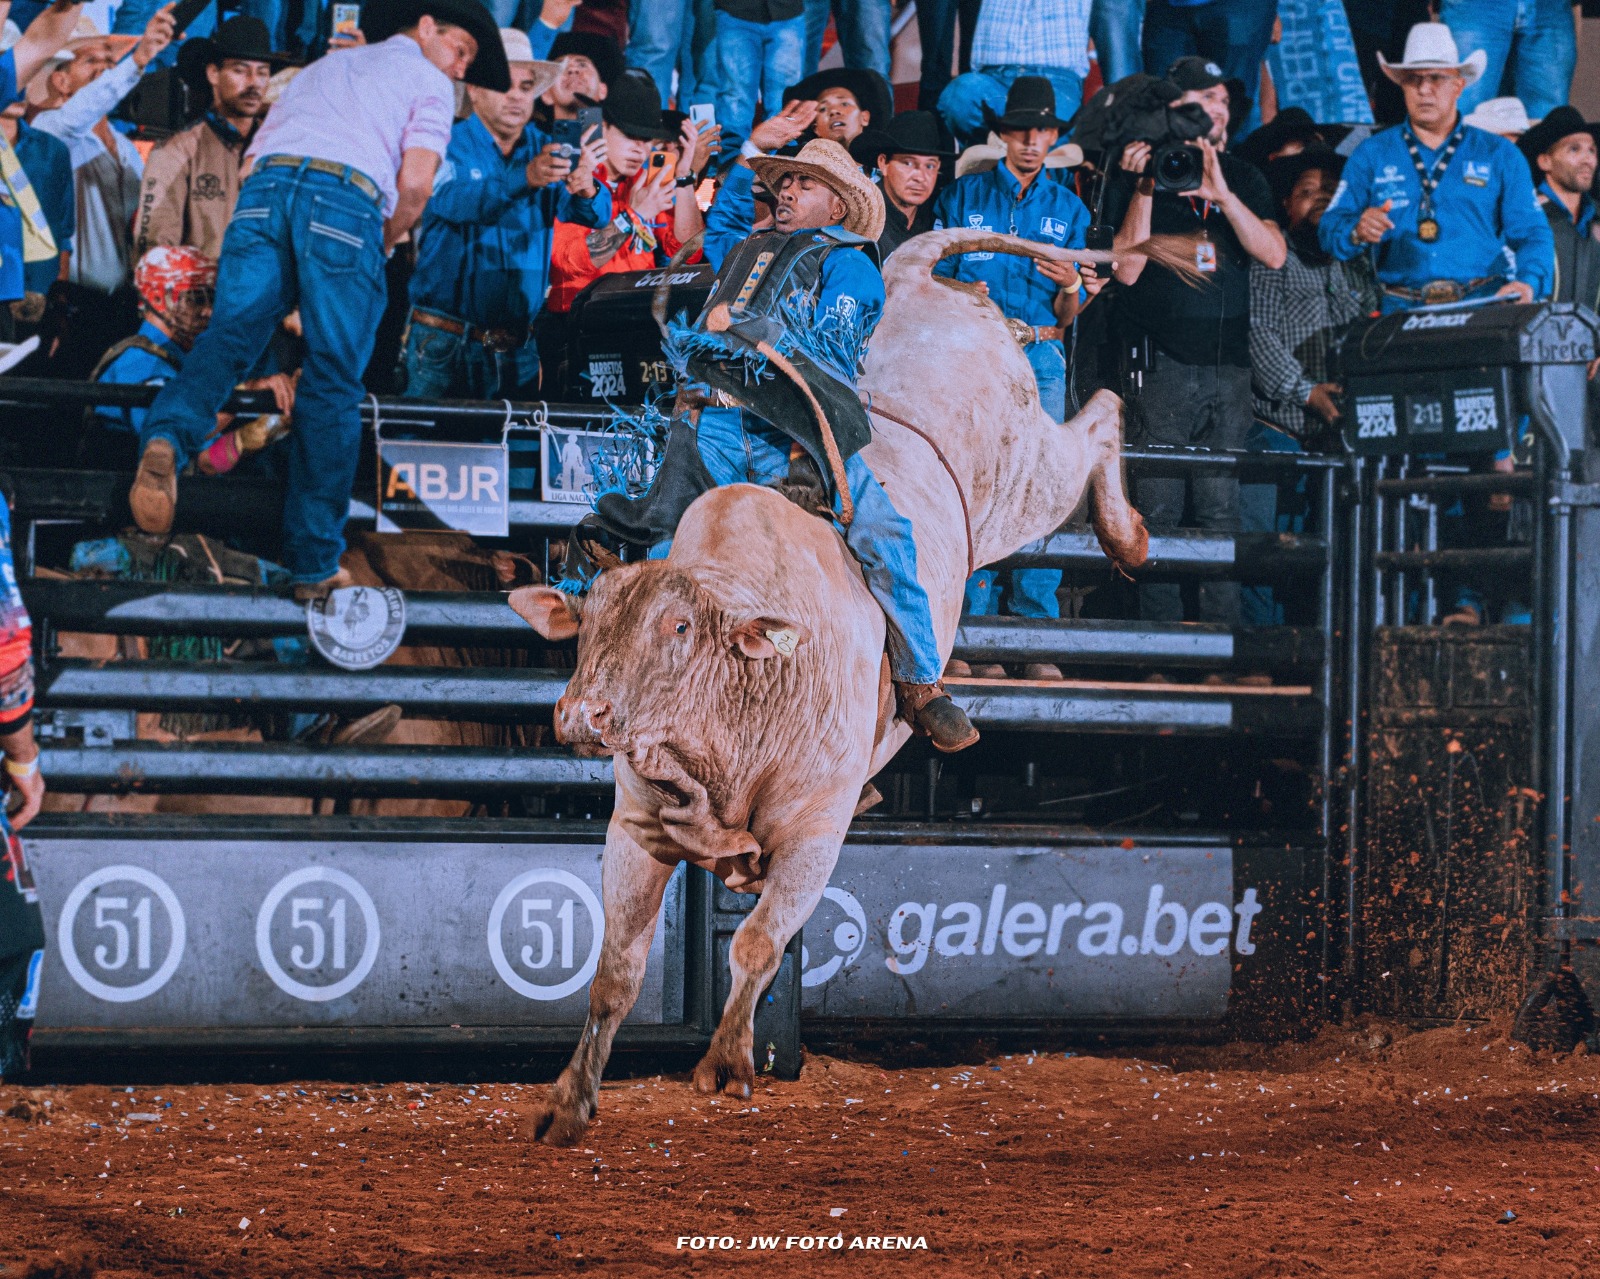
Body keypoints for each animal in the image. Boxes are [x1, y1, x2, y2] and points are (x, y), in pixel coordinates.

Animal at [512, 227, 1177, 1139]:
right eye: (589, 623)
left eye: (678, 629)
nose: (584, 713)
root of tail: (915, 267)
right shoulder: (637, 829)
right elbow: (616, 969)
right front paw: (568, 1102)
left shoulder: (815, 832)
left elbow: (755, 942)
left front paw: (728, 1062)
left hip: (1025, 477)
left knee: (1099, 414)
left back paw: (1129, 535)